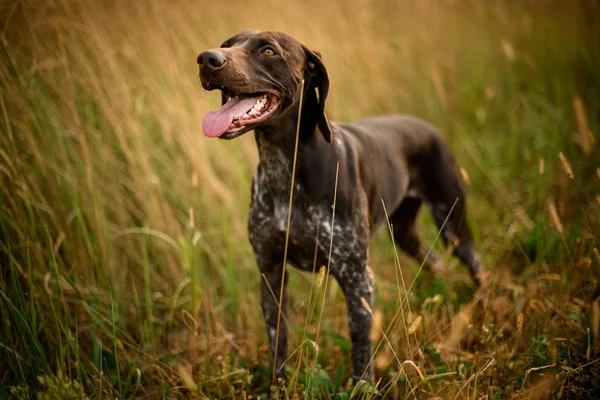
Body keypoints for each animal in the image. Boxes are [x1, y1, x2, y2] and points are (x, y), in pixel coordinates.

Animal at [197, 30, 482, 382]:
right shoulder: (271, 271)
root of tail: (427, 127)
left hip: (452, 222)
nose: (207, 58)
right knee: (435, 261)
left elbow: (361, 346)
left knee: (477, 265)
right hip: (404, 232)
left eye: (268, 50)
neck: (285, 169)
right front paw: (278, 385)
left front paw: (363, 387)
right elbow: (277, 338)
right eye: (227, 45)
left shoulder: (356, 278)